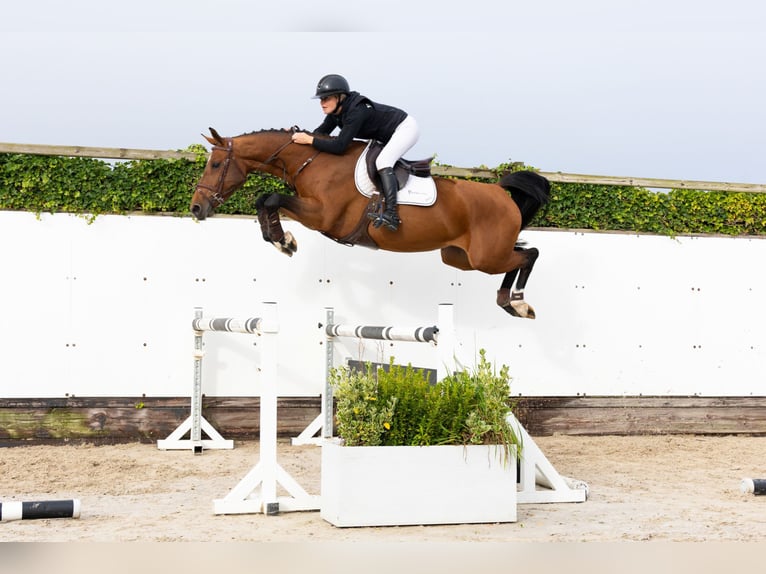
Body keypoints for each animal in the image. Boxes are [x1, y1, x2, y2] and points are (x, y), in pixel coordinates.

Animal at [190, 127, 551, 318]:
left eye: (216, 164)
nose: (196, 207)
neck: (313, 161)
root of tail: (501, 193)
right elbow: (265, 200)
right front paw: (282, 240)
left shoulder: (323, 215)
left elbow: (271, 198)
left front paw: (283, 240)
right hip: (459, 258)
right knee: (519, 255)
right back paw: (508, 302)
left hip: (485, 257)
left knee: (529, 255)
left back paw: (518, 302)